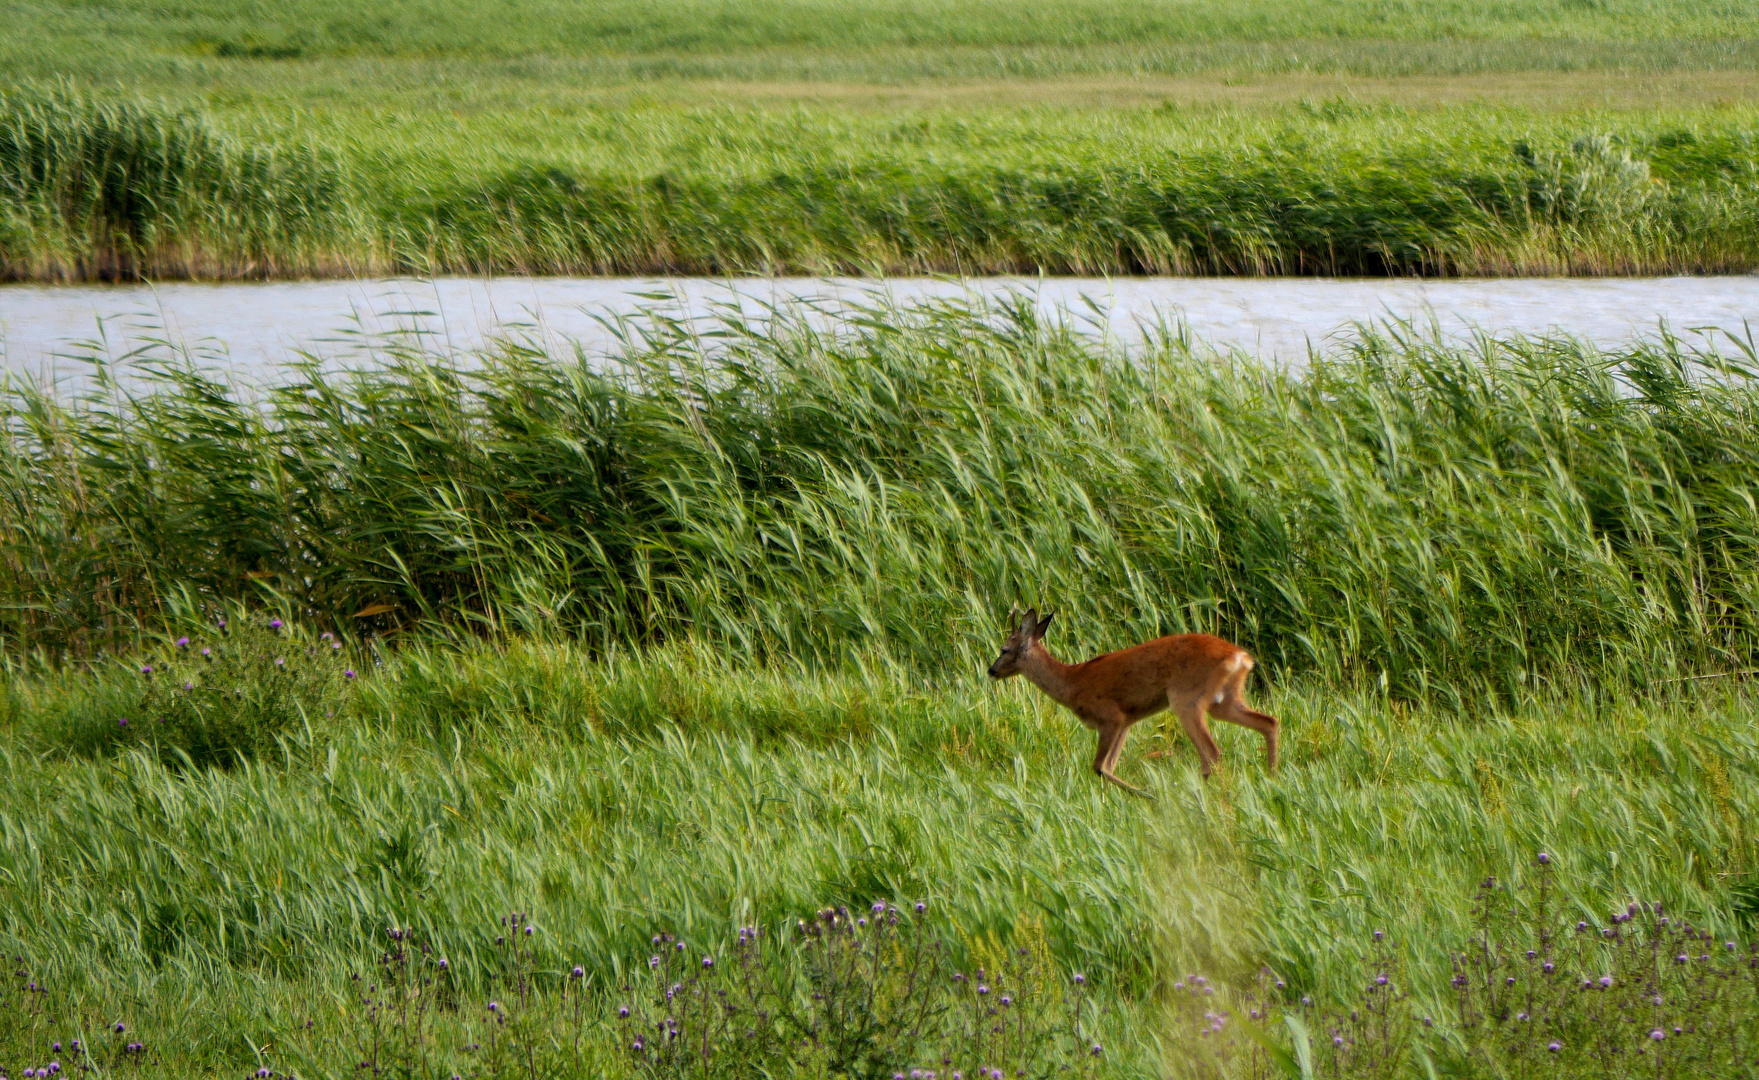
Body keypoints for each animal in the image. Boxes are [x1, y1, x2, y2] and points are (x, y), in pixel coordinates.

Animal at [992, 608, 1280, 795]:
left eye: (1004, 649)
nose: (991, 670)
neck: (1072, 682)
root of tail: (1241, 657)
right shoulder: (1127, 721)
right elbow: (1109, 765)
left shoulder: (1111, 716)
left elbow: (1099, 766)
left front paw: (1145, 793)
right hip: (1224, 701)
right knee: (1269, 722)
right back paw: (1271, 777)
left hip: (1186, 698)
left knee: (1212, 753)